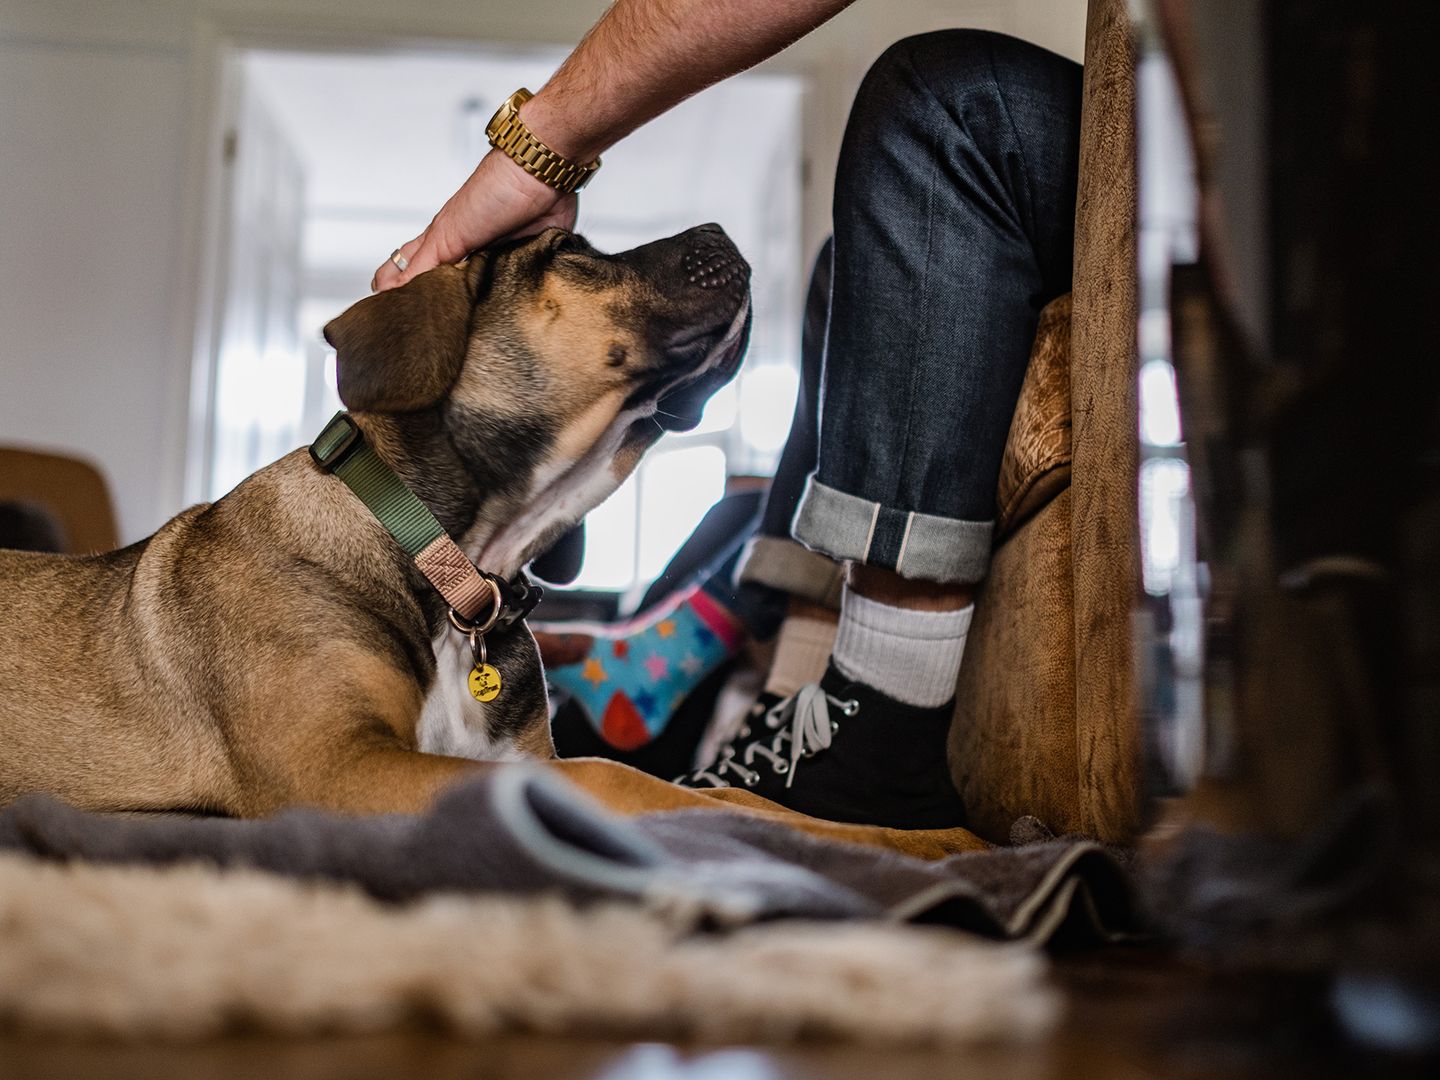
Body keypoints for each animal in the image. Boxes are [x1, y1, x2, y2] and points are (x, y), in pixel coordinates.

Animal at [2, 228, 754, 817]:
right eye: (571, 250)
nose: (722, 232)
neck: (448, 566)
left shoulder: (512, 753)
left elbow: (716, 791)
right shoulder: (334, 768)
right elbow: (611, 775)